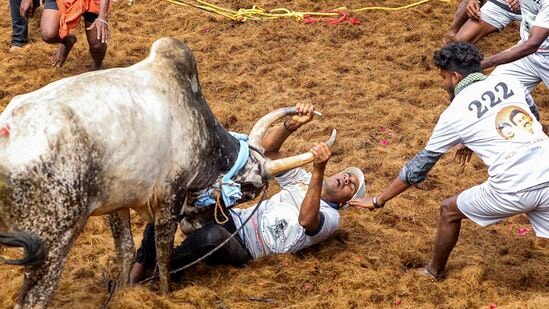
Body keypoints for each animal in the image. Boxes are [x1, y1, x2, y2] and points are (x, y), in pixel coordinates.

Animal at [0, 37, 334, 306]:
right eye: (248, 191)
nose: (195, 224)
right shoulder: (170, 196)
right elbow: (163, 255)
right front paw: (165, 295)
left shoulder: (117, 202)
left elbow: (126, 250)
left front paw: (124, 293)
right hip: (52, 243)